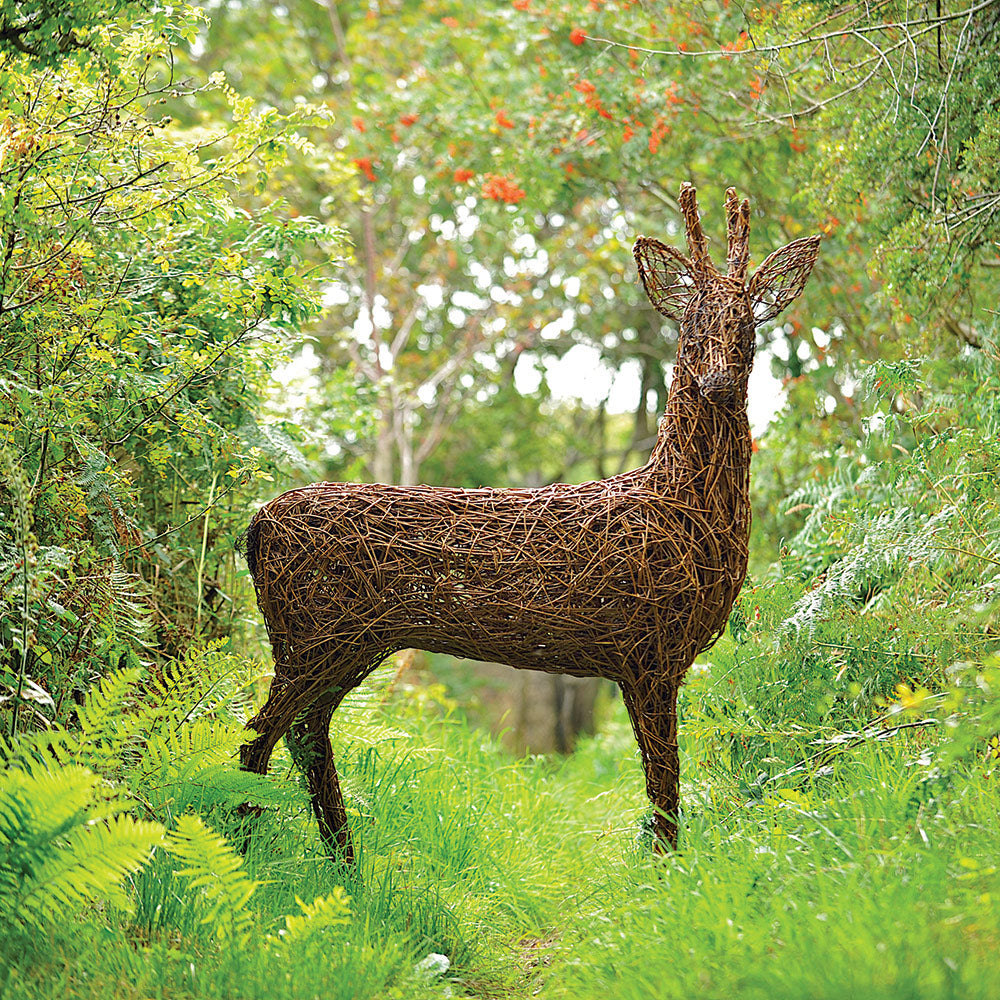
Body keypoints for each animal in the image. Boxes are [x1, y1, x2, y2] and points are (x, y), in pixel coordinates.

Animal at [239, 184, 820, 860]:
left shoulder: (649, 659)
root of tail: (257, 526)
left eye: (748, 325)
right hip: (315, 636)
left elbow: (664, 788)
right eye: (694, 323)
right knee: (258, 739)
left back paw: (345, 864)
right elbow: (664, 789)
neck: (678, 500)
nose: (720, 382)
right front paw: (669, 873)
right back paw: (247, 851)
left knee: (304, 734)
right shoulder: (647, 652)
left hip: (343, 643)